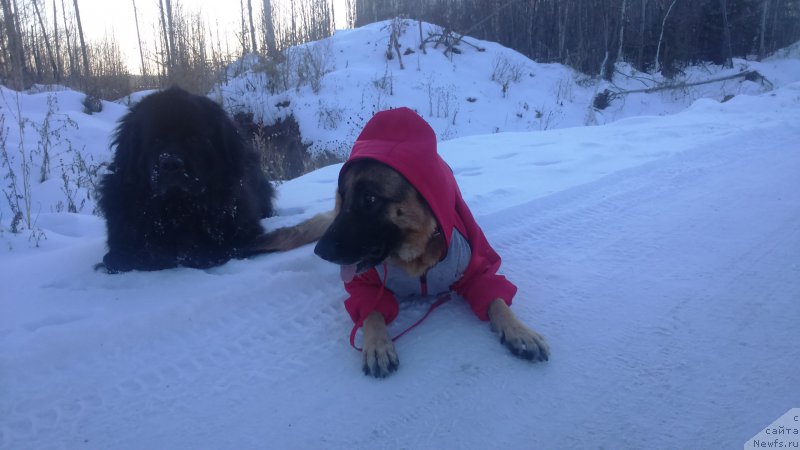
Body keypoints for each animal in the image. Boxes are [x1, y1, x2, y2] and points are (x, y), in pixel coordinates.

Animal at [252, 108, 552, 376]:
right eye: (344, 198)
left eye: (370, 199)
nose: (320, 251)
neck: (416, 257)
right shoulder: (366, 285)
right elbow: (371, 312)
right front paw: (377, 345)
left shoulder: (476, 268)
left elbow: (497, 299)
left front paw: (520, 331)